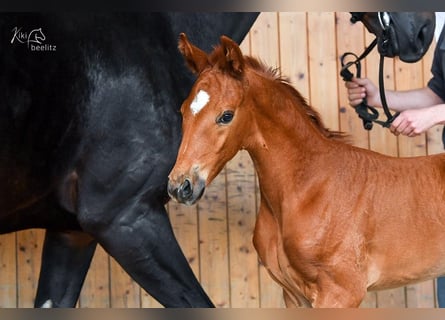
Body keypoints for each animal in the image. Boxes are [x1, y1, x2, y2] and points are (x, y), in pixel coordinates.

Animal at [166, 33, 444, 308]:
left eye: (226, 115)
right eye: (183, 111)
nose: (180, 185)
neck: (309, 185)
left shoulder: (341, 293)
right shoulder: (294, 296)